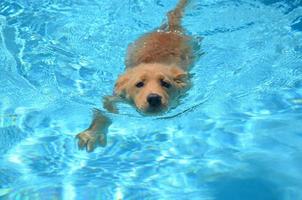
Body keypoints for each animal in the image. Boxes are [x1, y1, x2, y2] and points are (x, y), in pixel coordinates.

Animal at [76, 0, 197, 150]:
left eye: (165, 83)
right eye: (139, 84)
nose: (154, 98)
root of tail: (169, 29)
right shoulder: (117, 96)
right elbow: (104, 112)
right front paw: (93, 133)